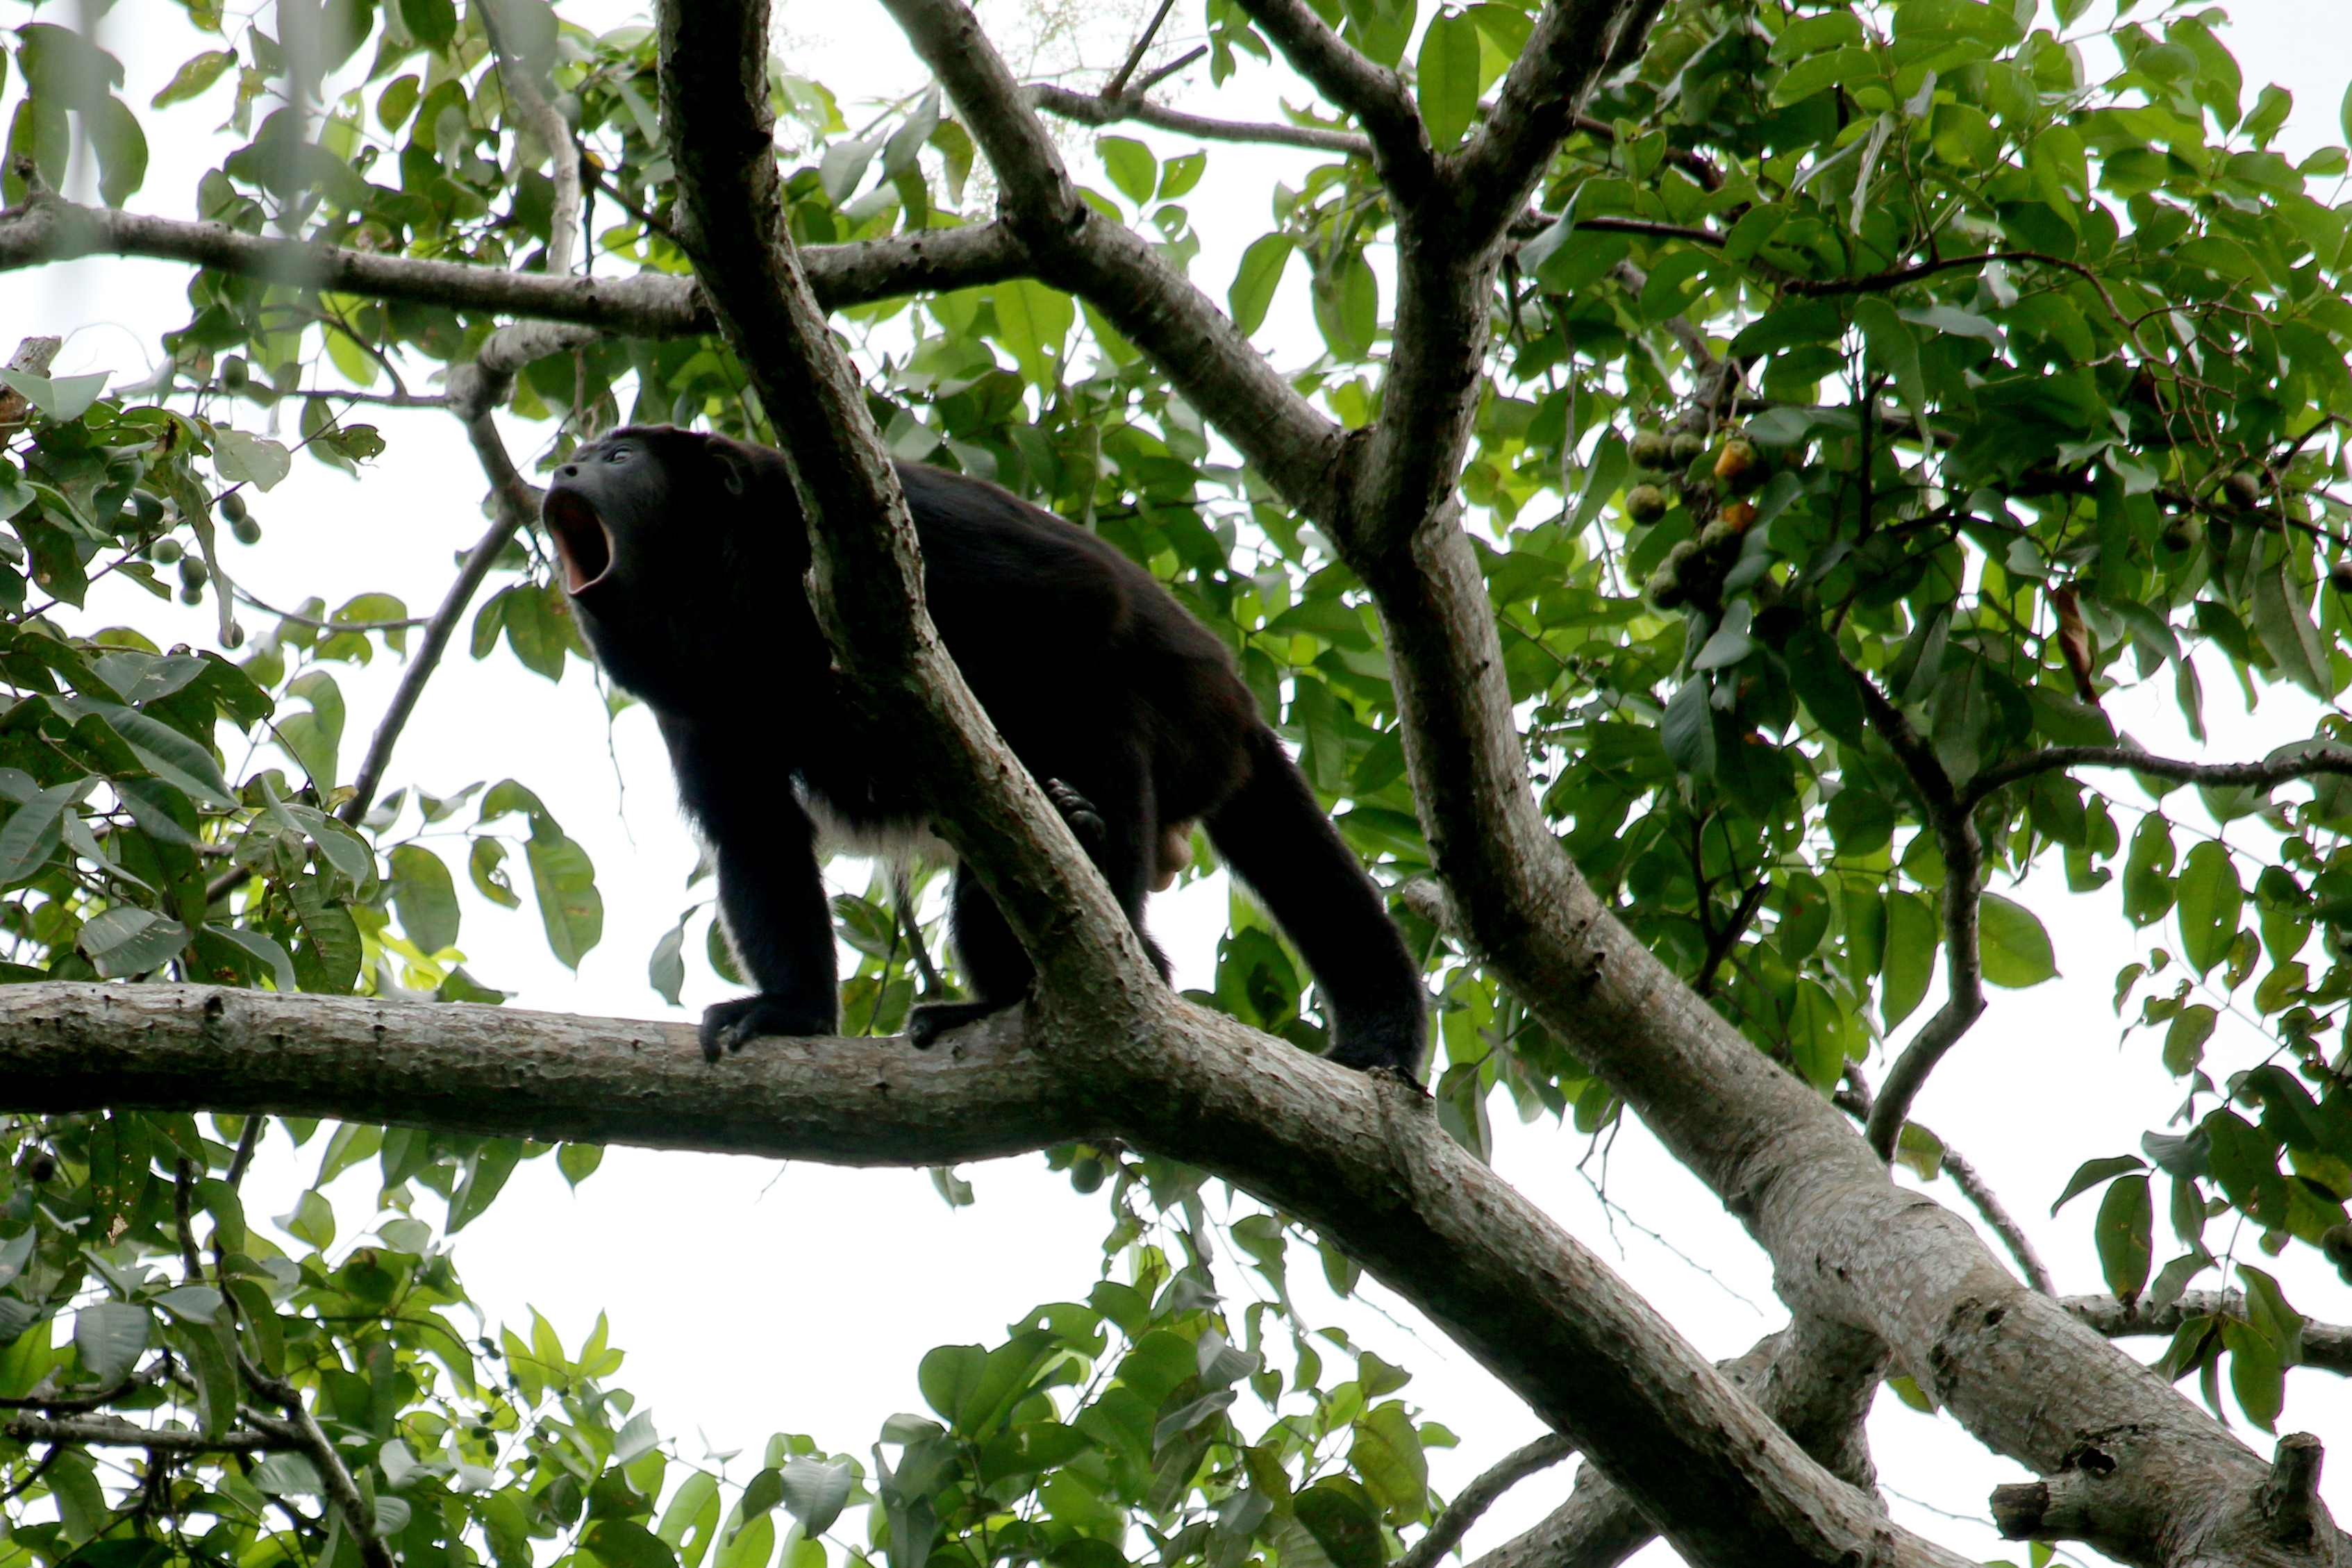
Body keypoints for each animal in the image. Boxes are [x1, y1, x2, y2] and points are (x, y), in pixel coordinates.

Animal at [548, 423, 1420, 1086]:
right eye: (584, 453)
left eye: (619, 458)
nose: (562, 467)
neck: (731, 583)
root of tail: (1239, 711)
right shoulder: (690, 693)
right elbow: (753, 826)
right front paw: (790, 1010)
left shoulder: (848, 512)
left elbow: (1076, 594)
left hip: (1189, 731)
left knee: (1096, 707)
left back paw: (1100, 885)